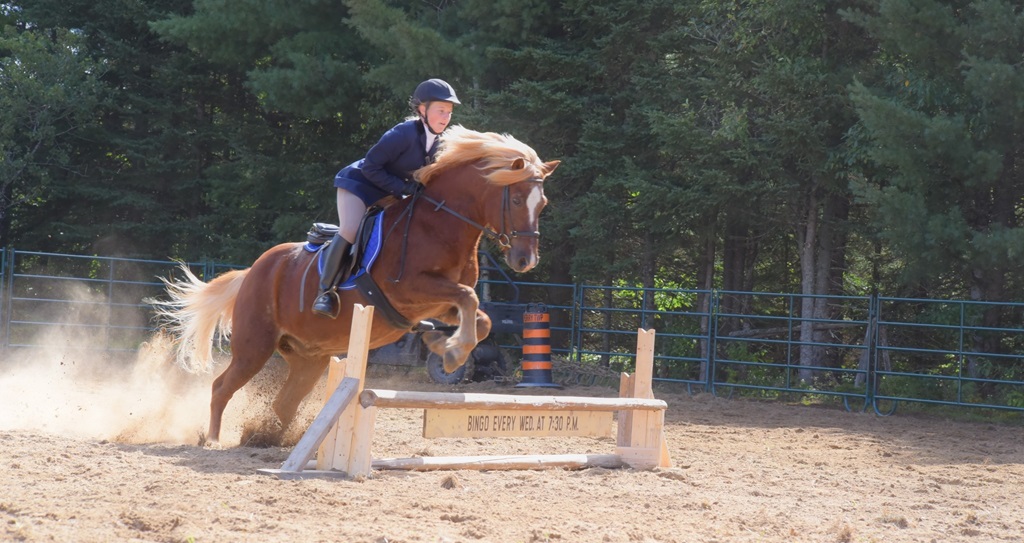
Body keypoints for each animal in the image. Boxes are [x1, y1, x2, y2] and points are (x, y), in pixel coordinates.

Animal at [152, 126, 559, 446]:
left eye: (543, 204)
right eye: (517, 198)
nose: (525, 261)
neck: (440, 223)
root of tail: (253, 270)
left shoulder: (438, 304)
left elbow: (480, 317)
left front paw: (441, 344)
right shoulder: (410, 289)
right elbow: (469, 297)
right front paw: (454, 353)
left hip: (308, 358)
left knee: (284, 401)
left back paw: (267, 437)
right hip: (255, 346)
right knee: (222, 387)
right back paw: (213, 439)